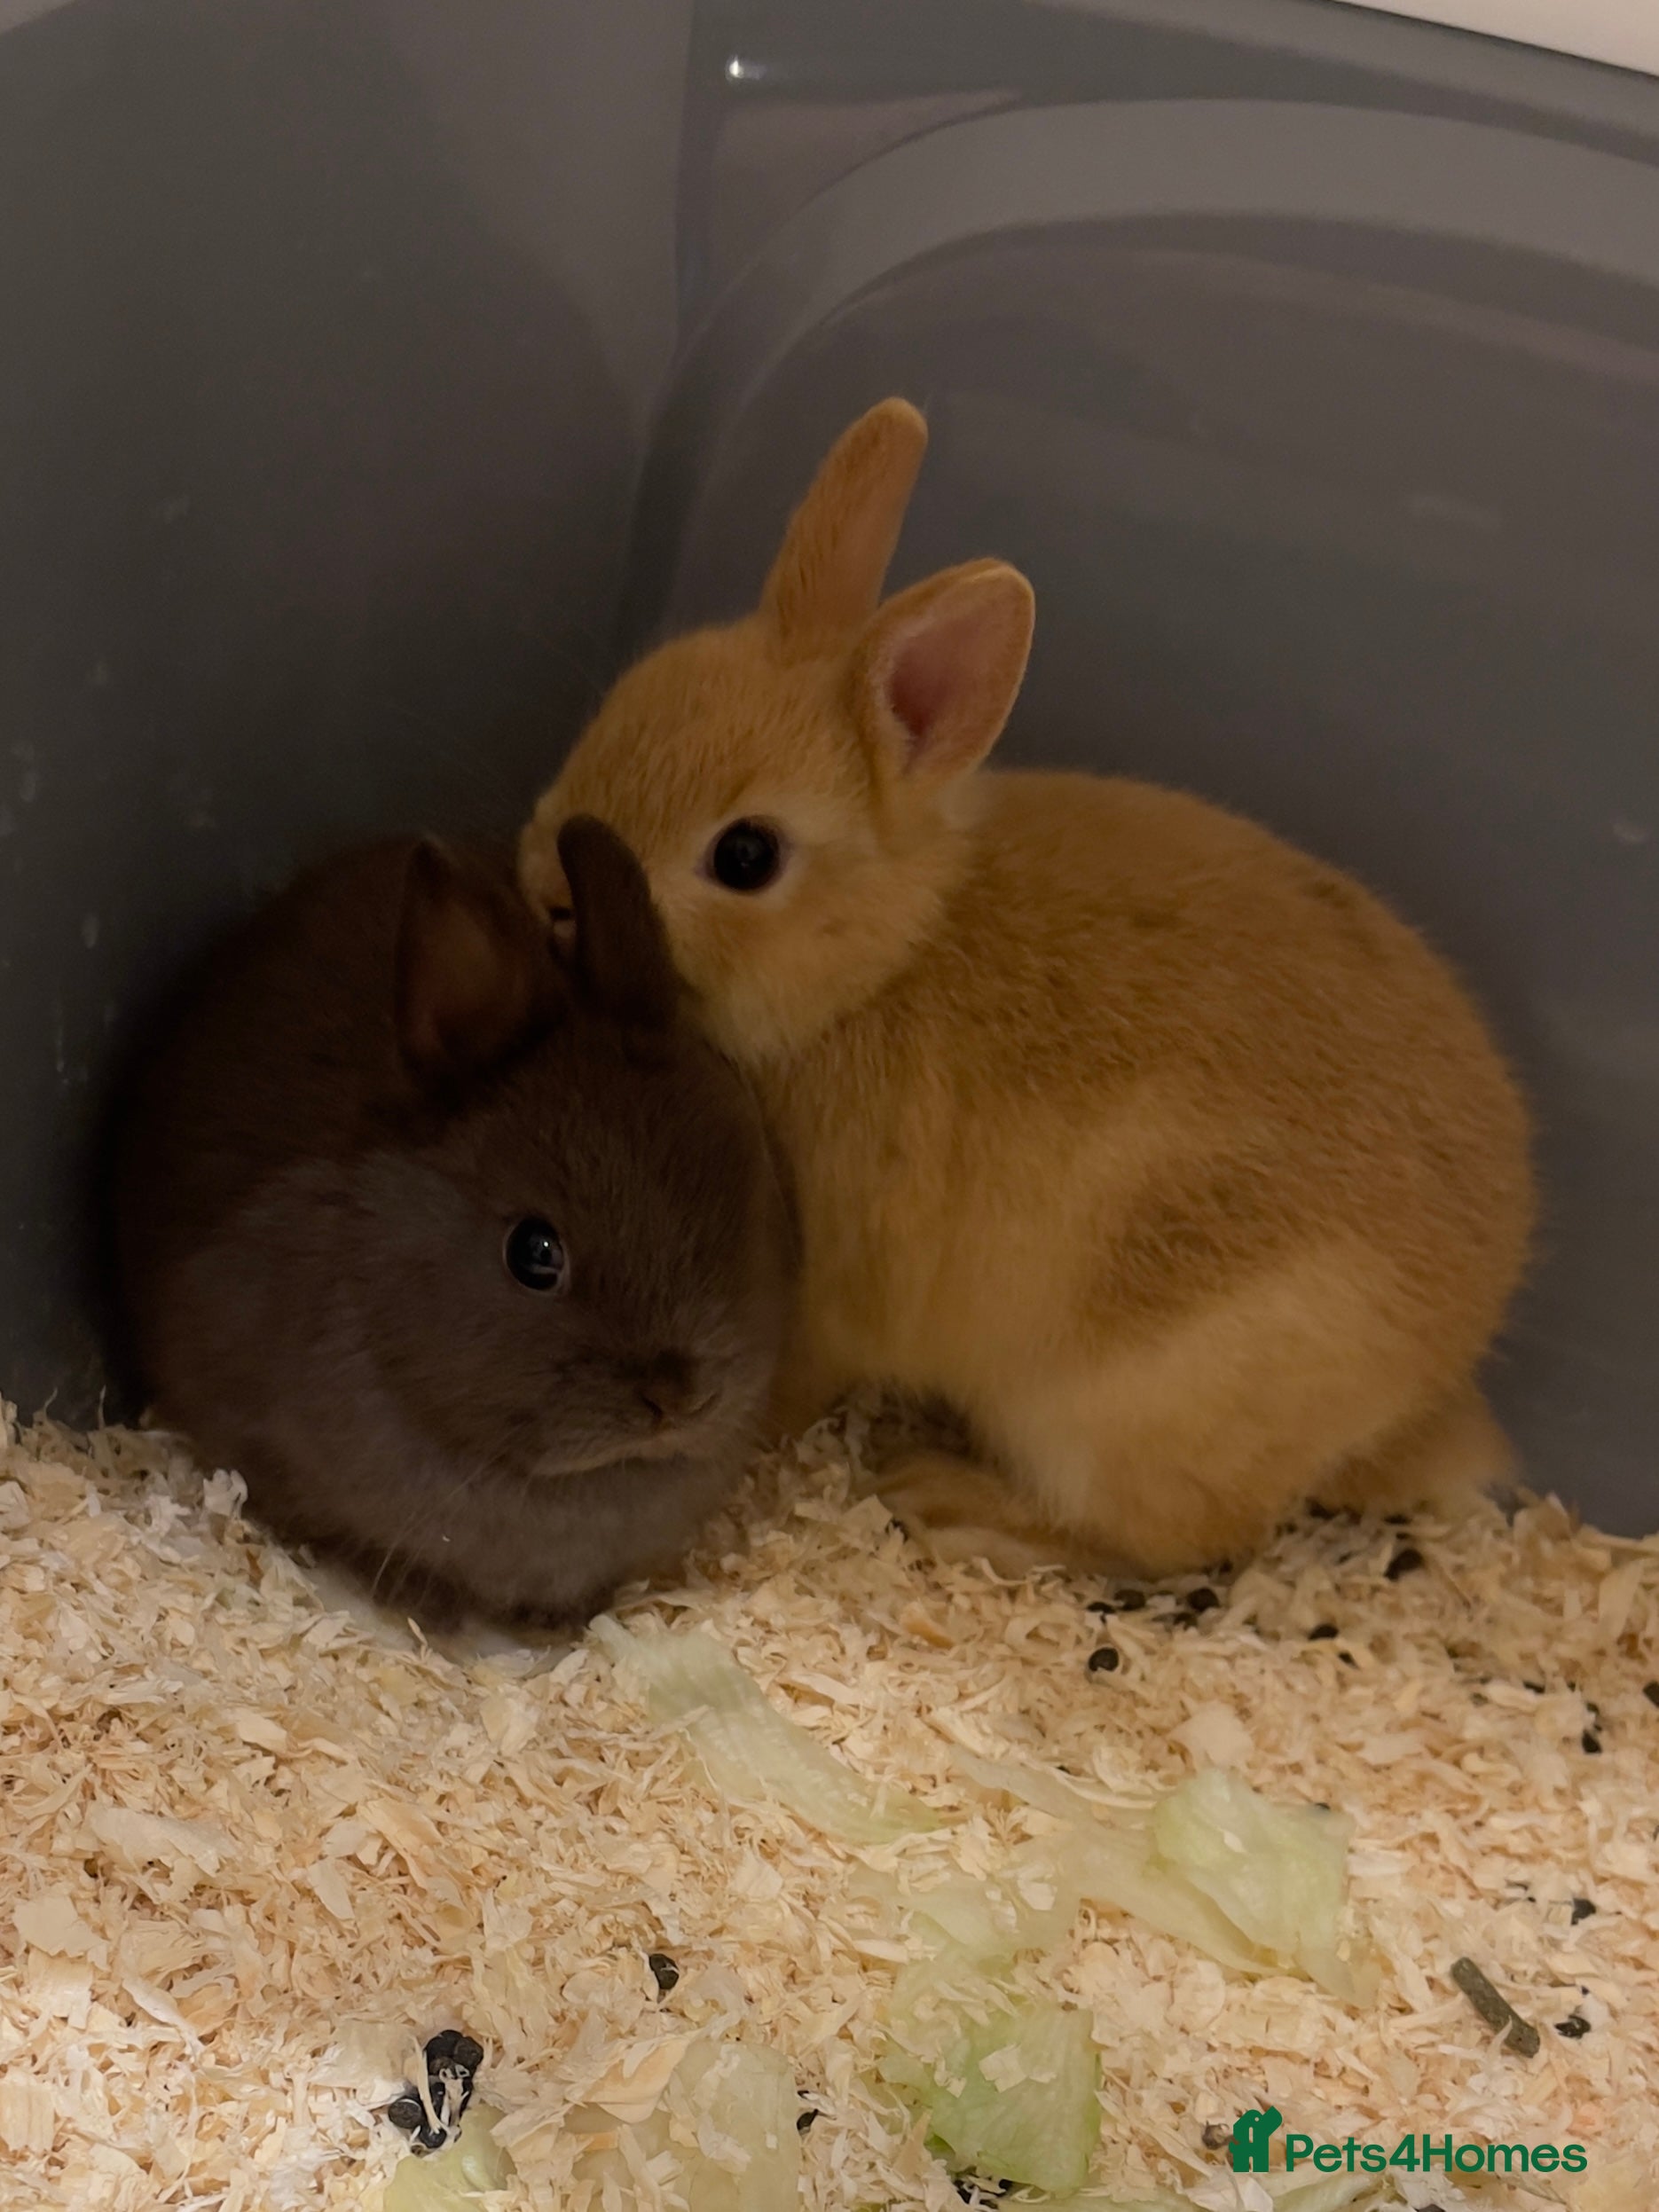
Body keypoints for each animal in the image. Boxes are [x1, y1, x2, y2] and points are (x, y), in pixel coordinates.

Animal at [517, 398, 1535, 1582]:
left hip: (1116, 1413)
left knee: (1171, 1540)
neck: (876, 964)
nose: (544, 888)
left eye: (745, 856)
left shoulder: (828, 1287)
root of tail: (1436, 1385)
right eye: (623, 706)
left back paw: (949, 1501)